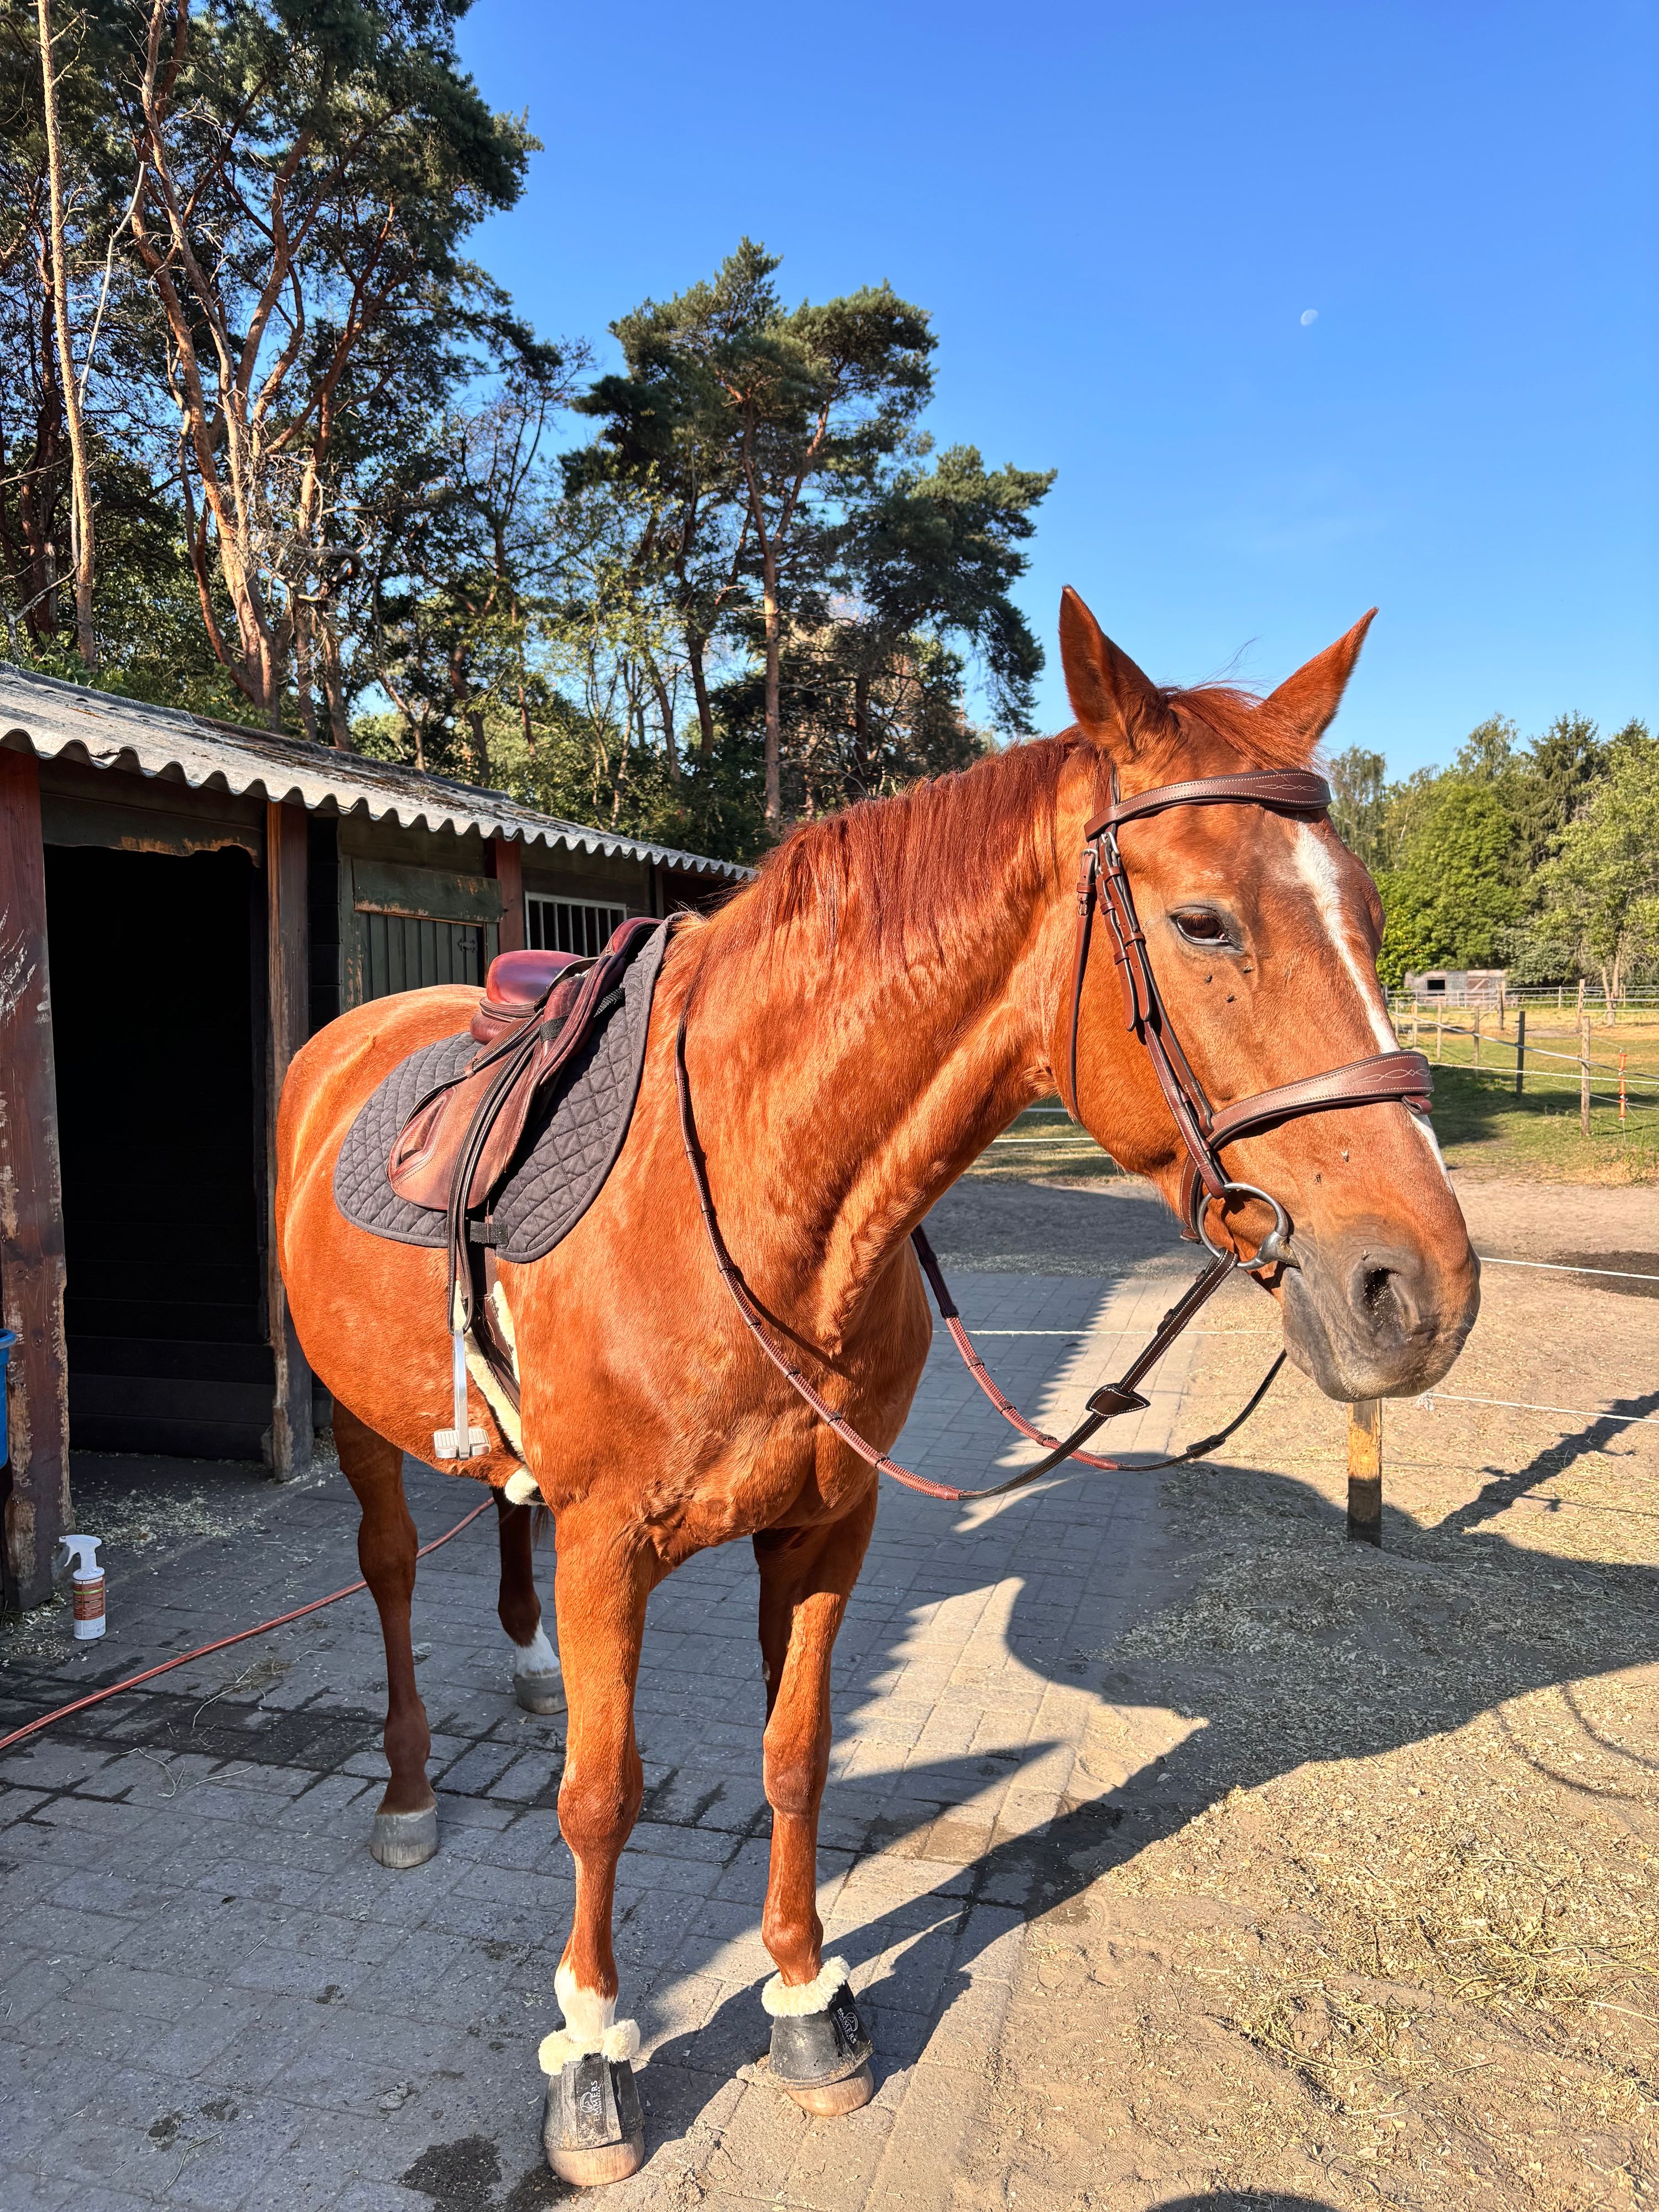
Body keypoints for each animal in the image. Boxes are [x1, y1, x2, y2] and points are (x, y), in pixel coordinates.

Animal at [275, 589, 1479, 2182]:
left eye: (1374, 919)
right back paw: (412, 1790)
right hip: (361, 1429)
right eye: (1205, 919)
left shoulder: (828, 1526)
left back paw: (530, 1672)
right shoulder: (612, 1550)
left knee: (505, 1520)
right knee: (396, 1570)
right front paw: (593, 2057)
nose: (1421, 1290)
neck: (758, 1190)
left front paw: (801, 2001)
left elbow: (796, 1761)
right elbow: (601, 1798)